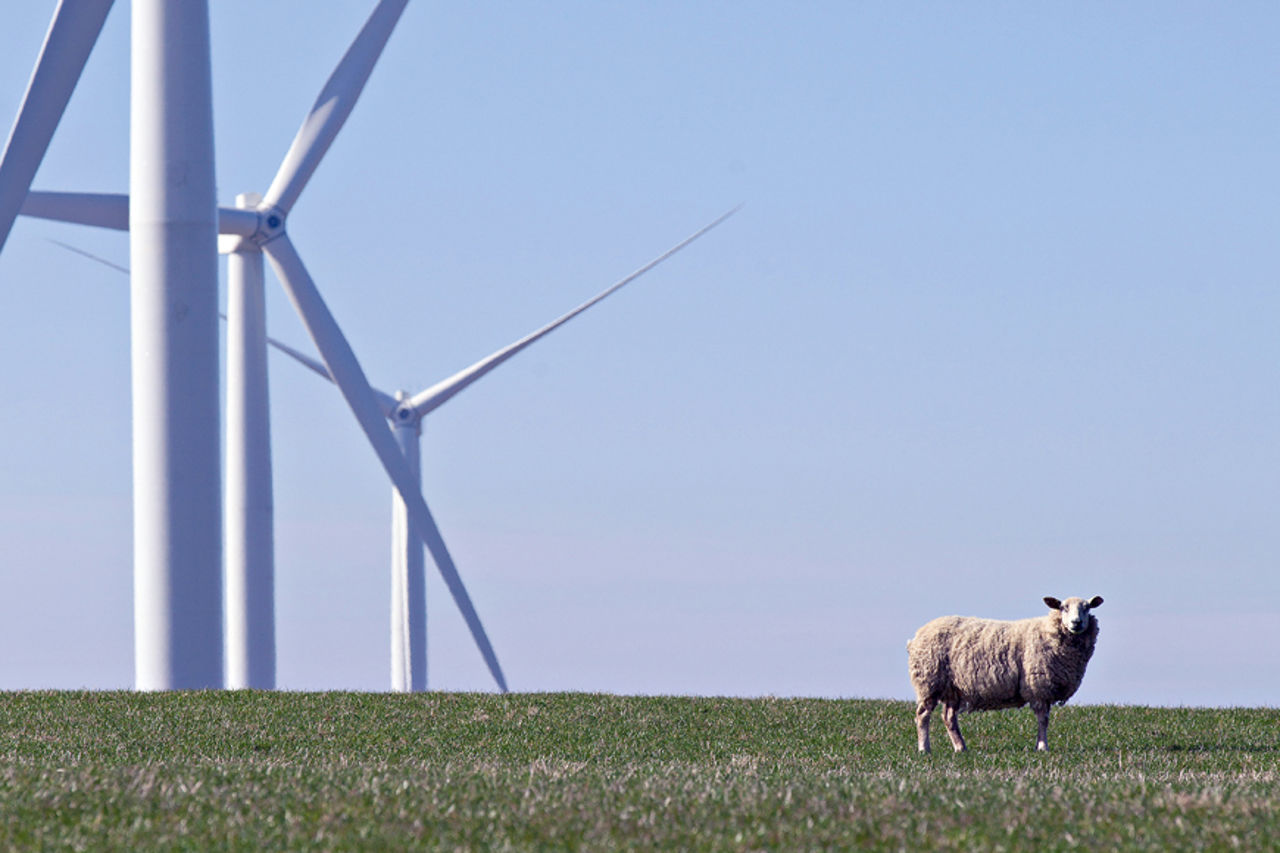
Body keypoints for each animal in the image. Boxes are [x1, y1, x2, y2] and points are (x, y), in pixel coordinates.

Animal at [906, 591, 1105, 753]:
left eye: (1087, 608)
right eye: (1063, 608)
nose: (1076, 622)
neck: (1049, 632)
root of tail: (916, 636)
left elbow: (1044, 719)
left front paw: (1040, 745)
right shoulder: (1038, 686)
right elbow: (1043, 719)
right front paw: (1042, 747)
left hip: (953, 688)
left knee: (948, 718)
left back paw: (961, 748)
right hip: (929, 681)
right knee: (922, 715)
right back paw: (924, 749)